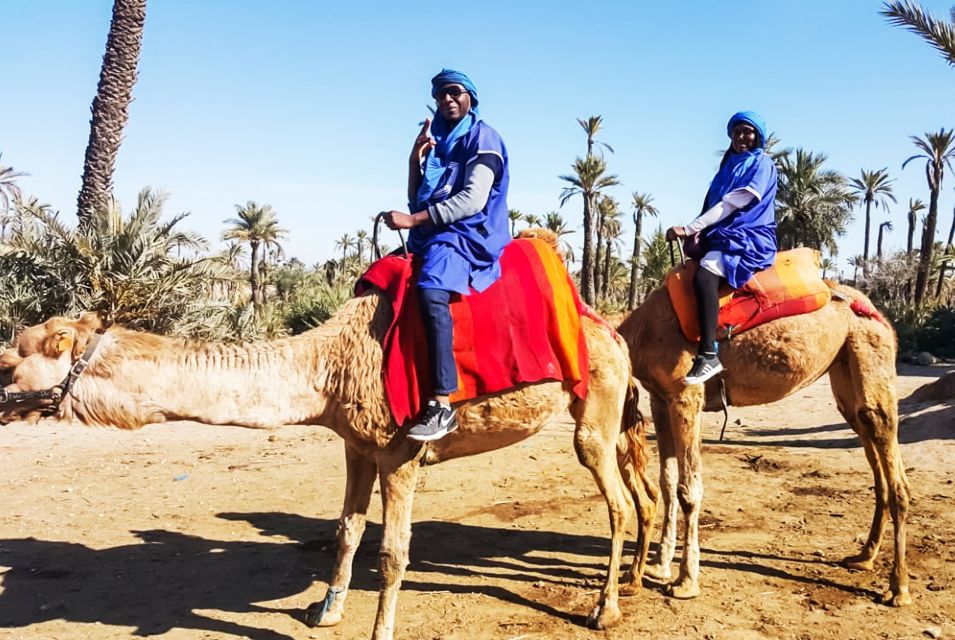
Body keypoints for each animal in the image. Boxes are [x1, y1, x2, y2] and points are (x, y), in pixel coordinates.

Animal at [0, 300, 656, 640]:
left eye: (15, 362)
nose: (3, 400)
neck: (327, 365)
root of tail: (614, 333)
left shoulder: (401, 453)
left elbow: (392, 554)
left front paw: (379, 633)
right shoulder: (356, 447)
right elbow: (346, 532)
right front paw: (326, 610)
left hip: (595, 409)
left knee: (618, 500)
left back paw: (604, 608)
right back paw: (634, 583)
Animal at [616, 282, 916, 608]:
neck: (640, 330)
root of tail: (880, 316)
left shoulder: (686, 395)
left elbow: (689, 489)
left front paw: (686, 582)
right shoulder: (660, 397)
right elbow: (668, 481)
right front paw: (659, 566)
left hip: (871, 355)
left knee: (891, 461)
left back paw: (898, 588)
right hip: (845, 373)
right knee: (870, 444)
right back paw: (863, 557)